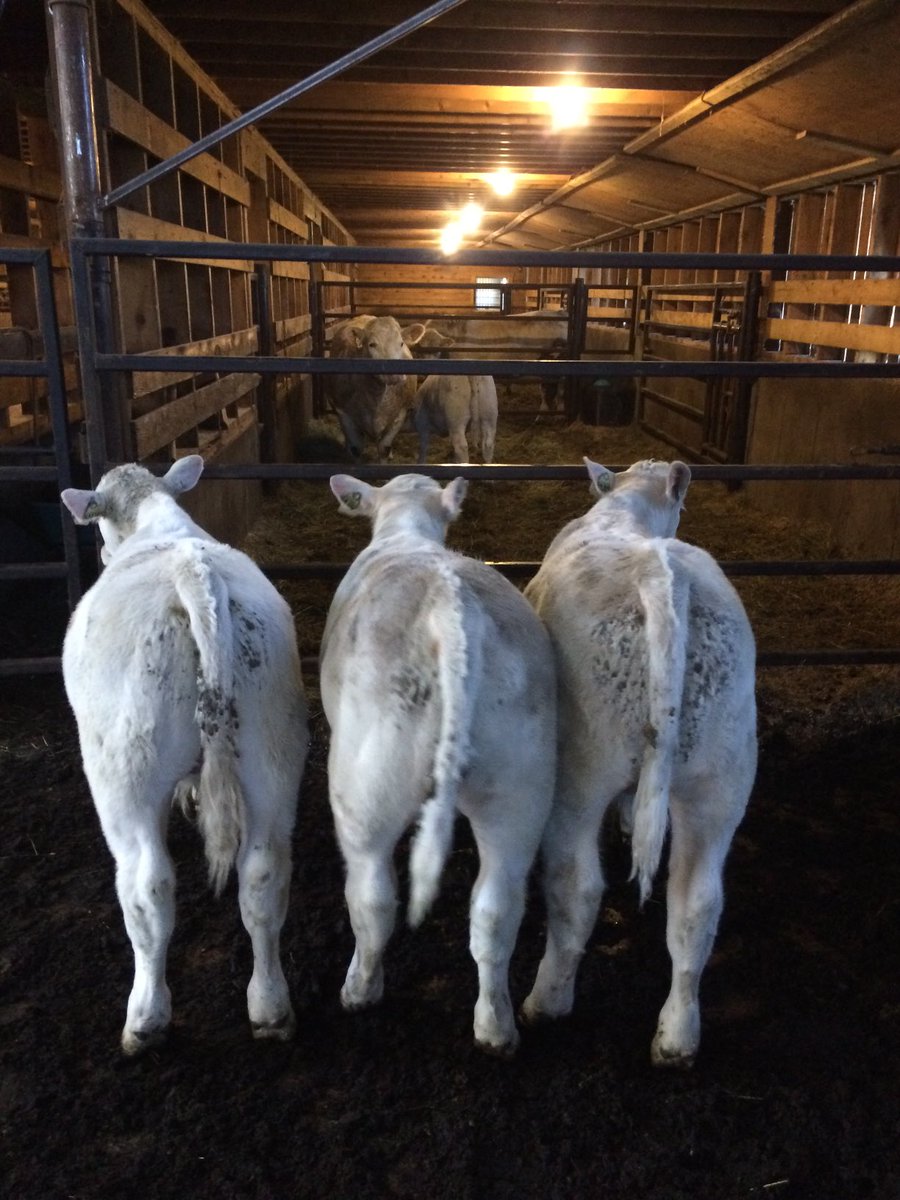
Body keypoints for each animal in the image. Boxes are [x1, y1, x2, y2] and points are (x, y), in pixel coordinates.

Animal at [60, 456, 308, 1054]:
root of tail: (192, 573)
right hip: (273, 751)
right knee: (263, 875)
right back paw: (270, 1009)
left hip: (125, 773)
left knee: (148, 885)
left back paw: (145, 1016)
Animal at [319, 472, 557, 1055]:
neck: (406, 531)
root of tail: (451, 608)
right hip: (520, 785)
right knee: (496, 908)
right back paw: (495, 1027)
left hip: (366, 787)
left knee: (373, 896)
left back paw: (359, 988)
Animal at [326, 314, 426, 460]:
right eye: (371, 344)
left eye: (401, 343)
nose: (395, 373)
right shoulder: (343, 412)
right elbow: (356, 448)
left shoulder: (400, 413)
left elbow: (384, 448)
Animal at [521, 457, 757, 1067]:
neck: (624, 511)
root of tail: (659, 575)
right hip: (721, 775)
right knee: (697, 903)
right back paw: (677, 1036)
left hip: (579, 772)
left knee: (577, 886)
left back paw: (545, 1000)